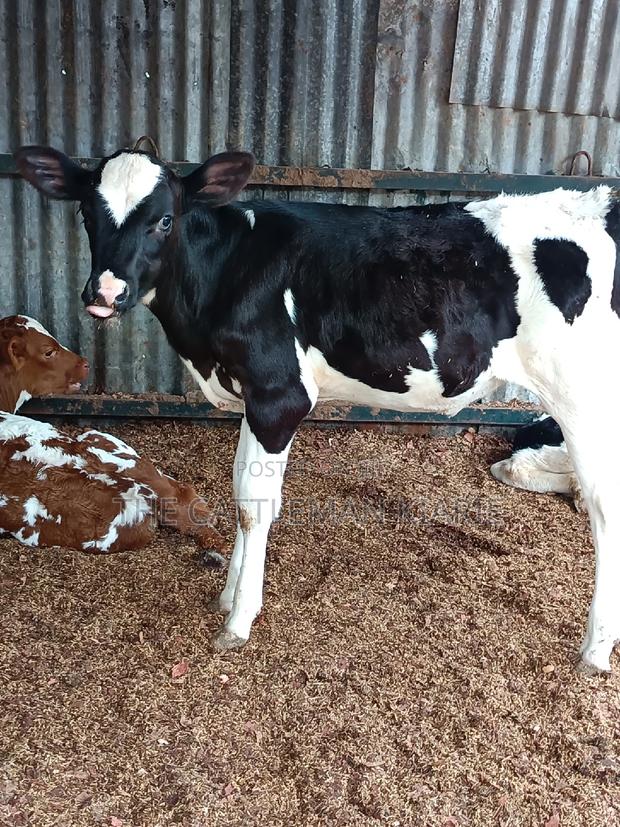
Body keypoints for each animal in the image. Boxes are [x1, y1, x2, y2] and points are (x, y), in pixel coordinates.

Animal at [14, 144, 620, 672]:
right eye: (88, 213)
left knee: (604, 507)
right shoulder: (253, 398)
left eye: (165, 219)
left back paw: (594, 650)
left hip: (582, 397)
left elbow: (255, 507)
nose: (103, 293)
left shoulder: (280, 394)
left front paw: (239, 619)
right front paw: (229, 595)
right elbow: (242, 492)